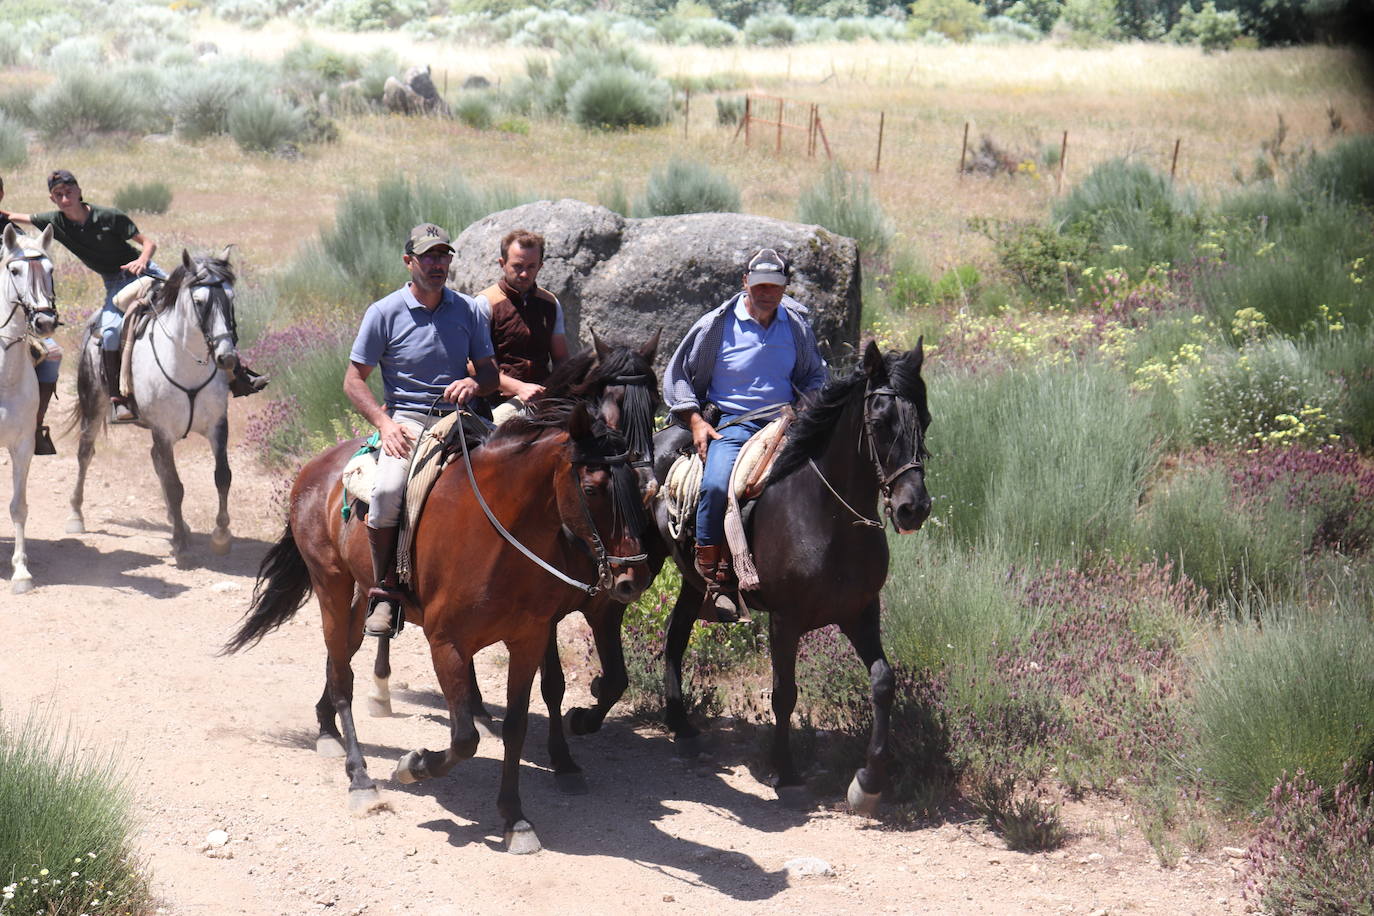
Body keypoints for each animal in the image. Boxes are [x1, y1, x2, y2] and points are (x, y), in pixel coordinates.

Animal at [69, 252, 241, 565]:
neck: (186, 365)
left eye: (230, 296)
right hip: (93, 405)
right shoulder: (163, 431)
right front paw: (181, 545)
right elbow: (175, 486)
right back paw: (76, 515)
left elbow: (222, 477)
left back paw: (177, 522)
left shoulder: (218, 425)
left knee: (155, 461)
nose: (227, 357)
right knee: (85, 452)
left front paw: (221, 536)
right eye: (199, 301)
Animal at [222, 403, 651, 856]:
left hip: (357, 596)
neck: (498, 535)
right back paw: (360, 778)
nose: (633, 580)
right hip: (331, 585)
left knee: (341, 656)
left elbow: (516, 728)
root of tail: (316, 466)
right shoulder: (447, 644)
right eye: (592, 488)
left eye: (639, 487)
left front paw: (515, 819)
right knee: (342, 679)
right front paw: (414, 765)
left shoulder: (529, 639)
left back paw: (327, 730)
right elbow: (464, 738)